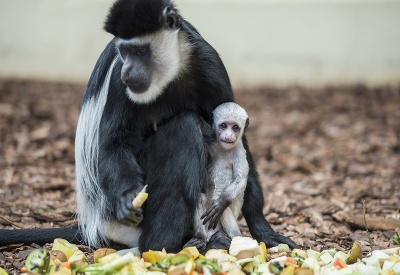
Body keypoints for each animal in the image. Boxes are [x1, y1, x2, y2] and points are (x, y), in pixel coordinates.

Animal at [186, 102, 248, 252]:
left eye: (235, 127)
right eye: (224, 126)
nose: (228, 135)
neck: (223, 150)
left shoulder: (239, 151)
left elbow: (240, 179)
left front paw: (221, 202)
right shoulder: (210, 144)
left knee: (219, 205)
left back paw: (236, 237)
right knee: (200, 198)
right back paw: (200, 238)